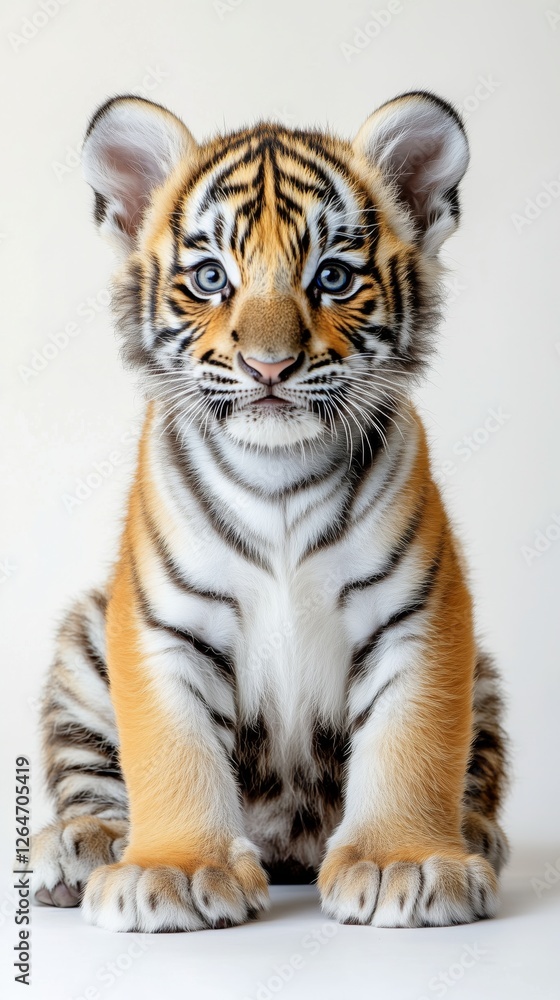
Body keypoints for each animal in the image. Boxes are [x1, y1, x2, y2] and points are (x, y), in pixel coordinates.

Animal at [31, 90, 509, 932]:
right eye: (211, 277)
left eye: (333, 277)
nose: (269, 365)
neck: (278, 472)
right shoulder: (162, 625)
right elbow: (170, 750)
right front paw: (174, 870)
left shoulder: (420, 614)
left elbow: (414, 742)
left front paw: (408, 862)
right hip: (85, 639)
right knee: (90, 774)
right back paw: (84, 845)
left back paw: (473, 832)